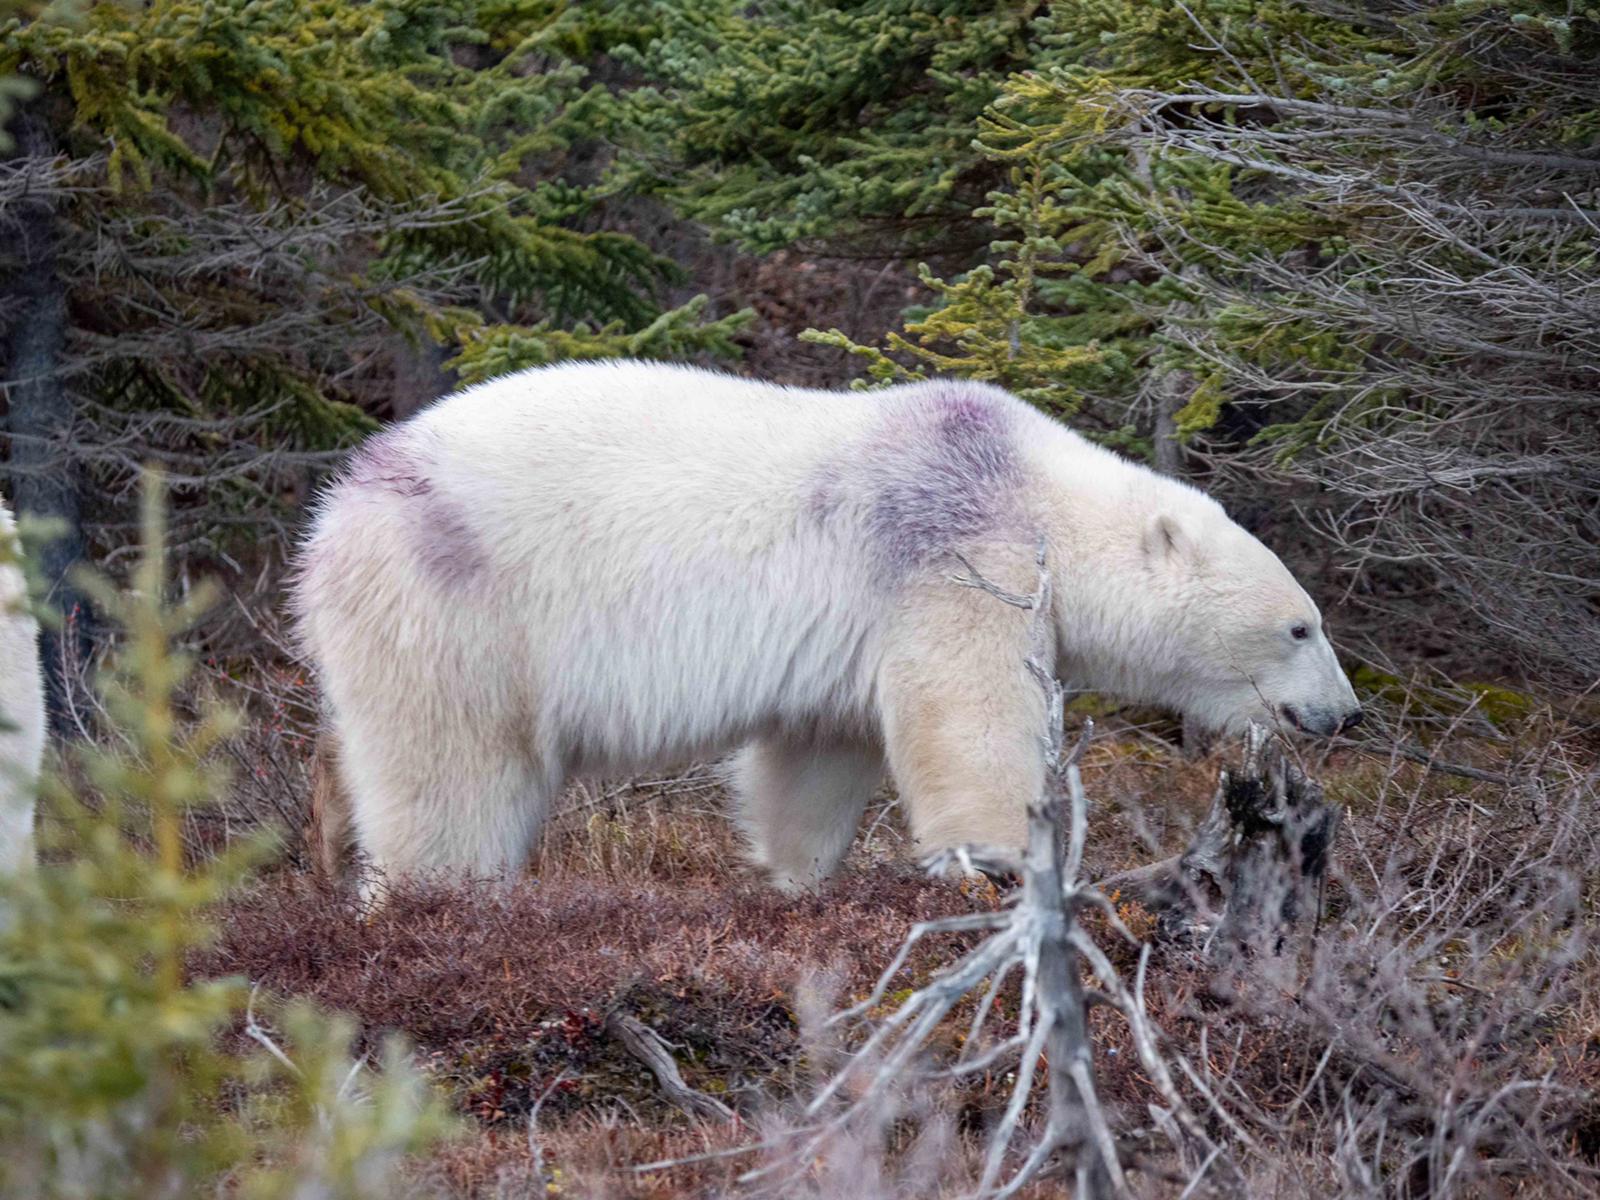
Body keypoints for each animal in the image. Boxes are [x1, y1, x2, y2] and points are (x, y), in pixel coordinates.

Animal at [294, 361, 1361, 893]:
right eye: (1302, 629)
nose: (1345, 714)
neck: (1032, 489)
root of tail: (341, 501)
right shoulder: (958, 558)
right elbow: (967, 717)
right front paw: (1001, 863)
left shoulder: (862, 630)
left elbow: (819, 752)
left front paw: (793, 877)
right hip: (457, 606)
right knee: (453, 770)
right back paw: (442, 892)